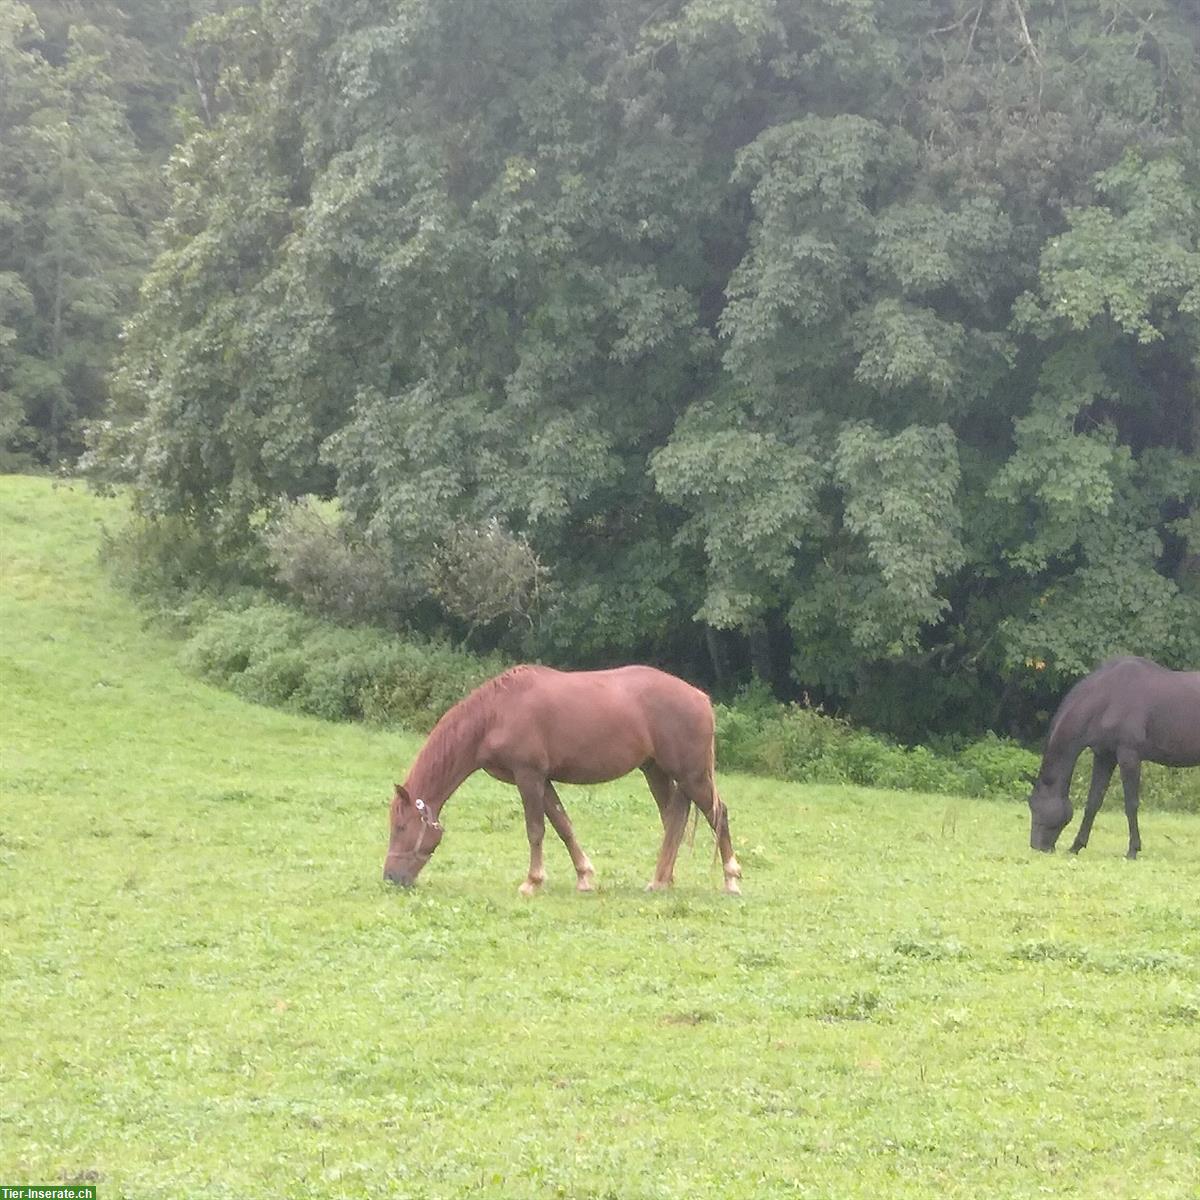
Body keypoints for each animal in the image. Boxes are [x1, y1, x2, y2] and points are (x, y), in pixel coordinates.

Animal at [384, 667, 739, 892]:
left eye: (400, 827)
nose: (390, 877)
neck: (496, 714)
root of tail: (701, 698)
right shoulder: (543, 780)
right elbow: (563, 825)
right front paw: (584, 876)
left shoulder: (528, 775)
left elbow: (536, 830)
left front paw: (532, 881)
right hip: (656, 771)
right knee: (674, 821)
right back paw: (662, 880)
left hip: (692, 776)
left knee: (717, 815)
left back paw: (731, 879)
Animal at [1027, 657, 1200, 854]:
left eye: (1036, 806)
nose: (1036, 846)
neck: (1106, 698)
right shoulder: (1104, 757)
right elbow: (1093, 802)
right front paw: (1076, 846)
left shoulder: (1129, 756)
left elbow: (1131, 804)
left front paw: (1133, 849)